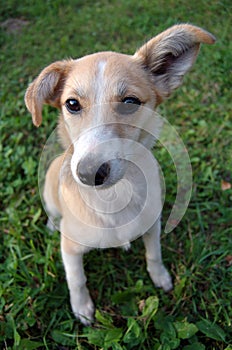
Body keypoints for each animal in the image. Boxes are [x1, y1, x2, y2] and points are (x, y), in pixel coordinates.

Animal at [24, 24, 215, 326]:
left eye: (130, 101)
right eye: (72, 104)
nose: (88, 174)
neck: (114, 197)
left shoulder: (153, 225)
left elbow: (154, 254)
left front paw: (160, 277)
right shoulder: (70, 248)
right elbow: (76, 280)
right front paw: (82, 309)